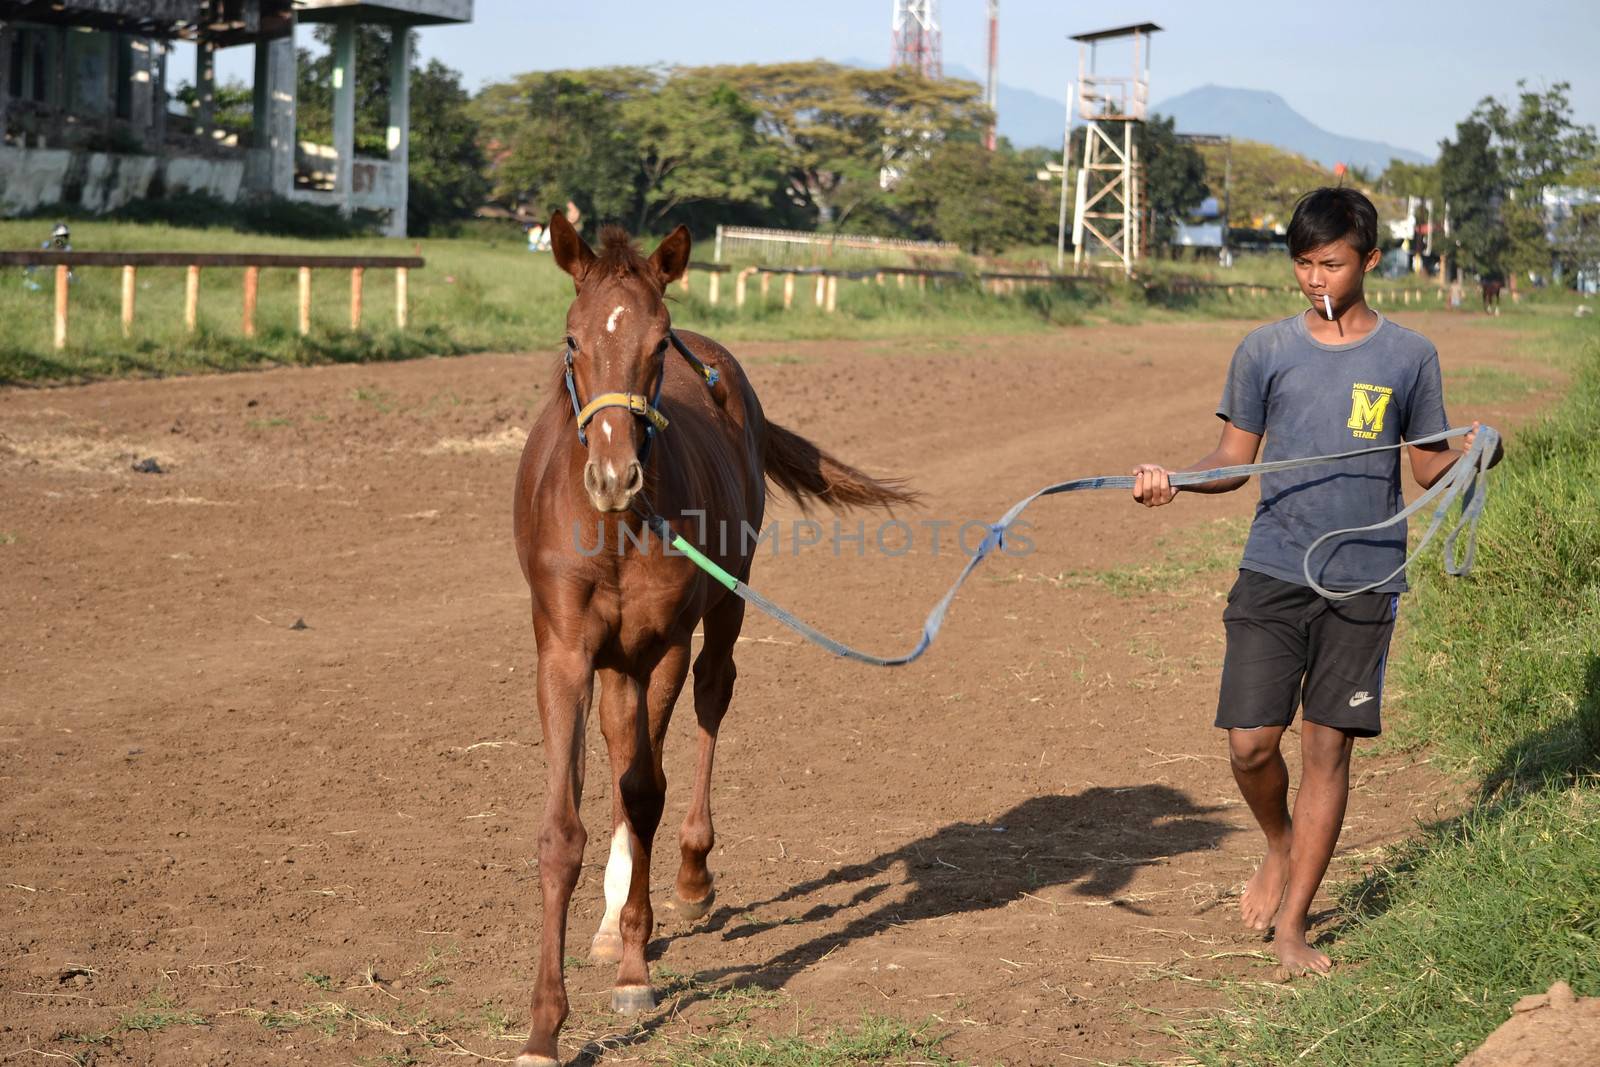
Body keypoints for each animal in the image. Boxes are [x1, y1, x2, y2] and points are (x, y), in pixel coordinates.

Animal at [512, 212, 915, 1062]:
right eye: (571, 339)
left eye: (658, 343)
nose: (613, 475)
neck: (615, 527)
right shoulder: (563, 652)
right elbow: (564, 827)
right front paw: (543, 1025)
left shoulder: (664, 639)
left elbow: (645, 791)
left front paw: (635, 968)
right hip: (615, 661)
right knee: (622, 740)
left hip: (724, 603)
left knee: (707, 704)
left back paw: (689, 876)